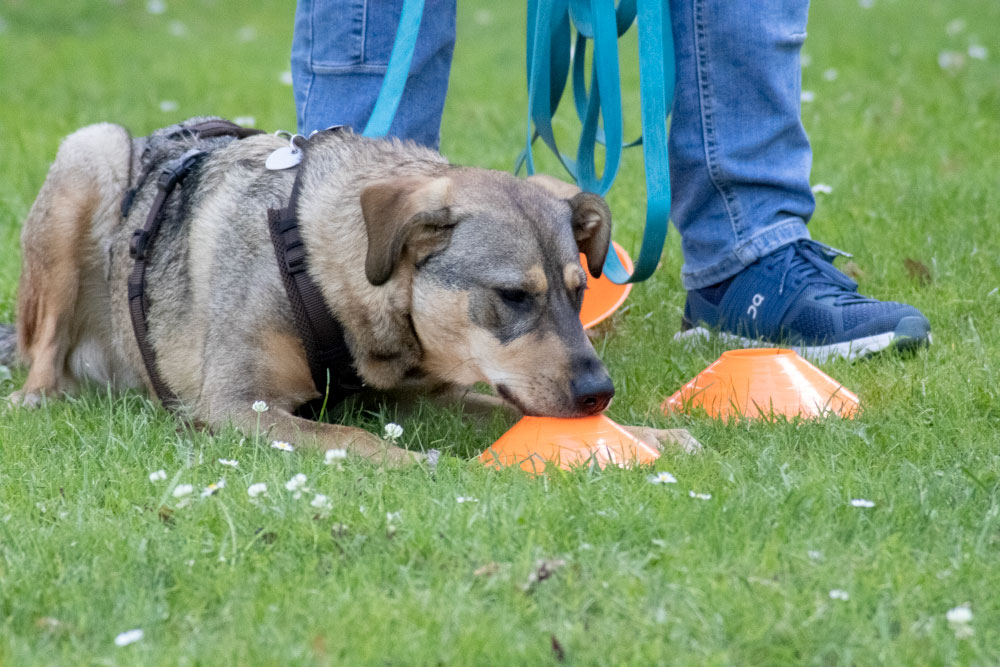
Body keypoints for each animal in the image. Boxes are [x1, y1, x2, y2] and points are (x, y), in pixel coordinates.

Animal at [1, 118, 704, 464]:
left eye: (578, 293)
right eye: (512, 296)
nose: (598, 392)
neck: (317, 271)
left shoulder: (419, 397)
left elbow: (503, 408)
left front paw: (648, 436)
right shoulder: (233, 407)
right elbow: (353, 440)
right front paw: (421, 466)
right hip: (88, 156)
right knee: (43, 352)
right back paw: (38, 396)